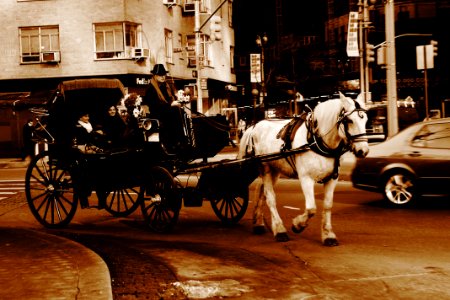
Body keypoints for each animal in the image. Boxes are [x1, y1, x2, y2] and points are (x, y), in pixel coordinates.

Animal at [239, 93, 370, 246]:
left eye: (365, 120)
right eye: (349, 120)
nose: (363, 151)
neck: (316, 140)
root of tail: (254, 126)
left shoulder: (332, 178)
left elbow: (327, 205)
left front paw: (328, 234)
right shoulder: (306, 178)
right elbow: (311, 208)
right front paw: (298, 225)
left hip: (275, 169)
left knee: (261, 190)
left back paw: (258, 223)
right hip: (265, 167)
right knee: (269, 196)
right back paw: (279, 229)